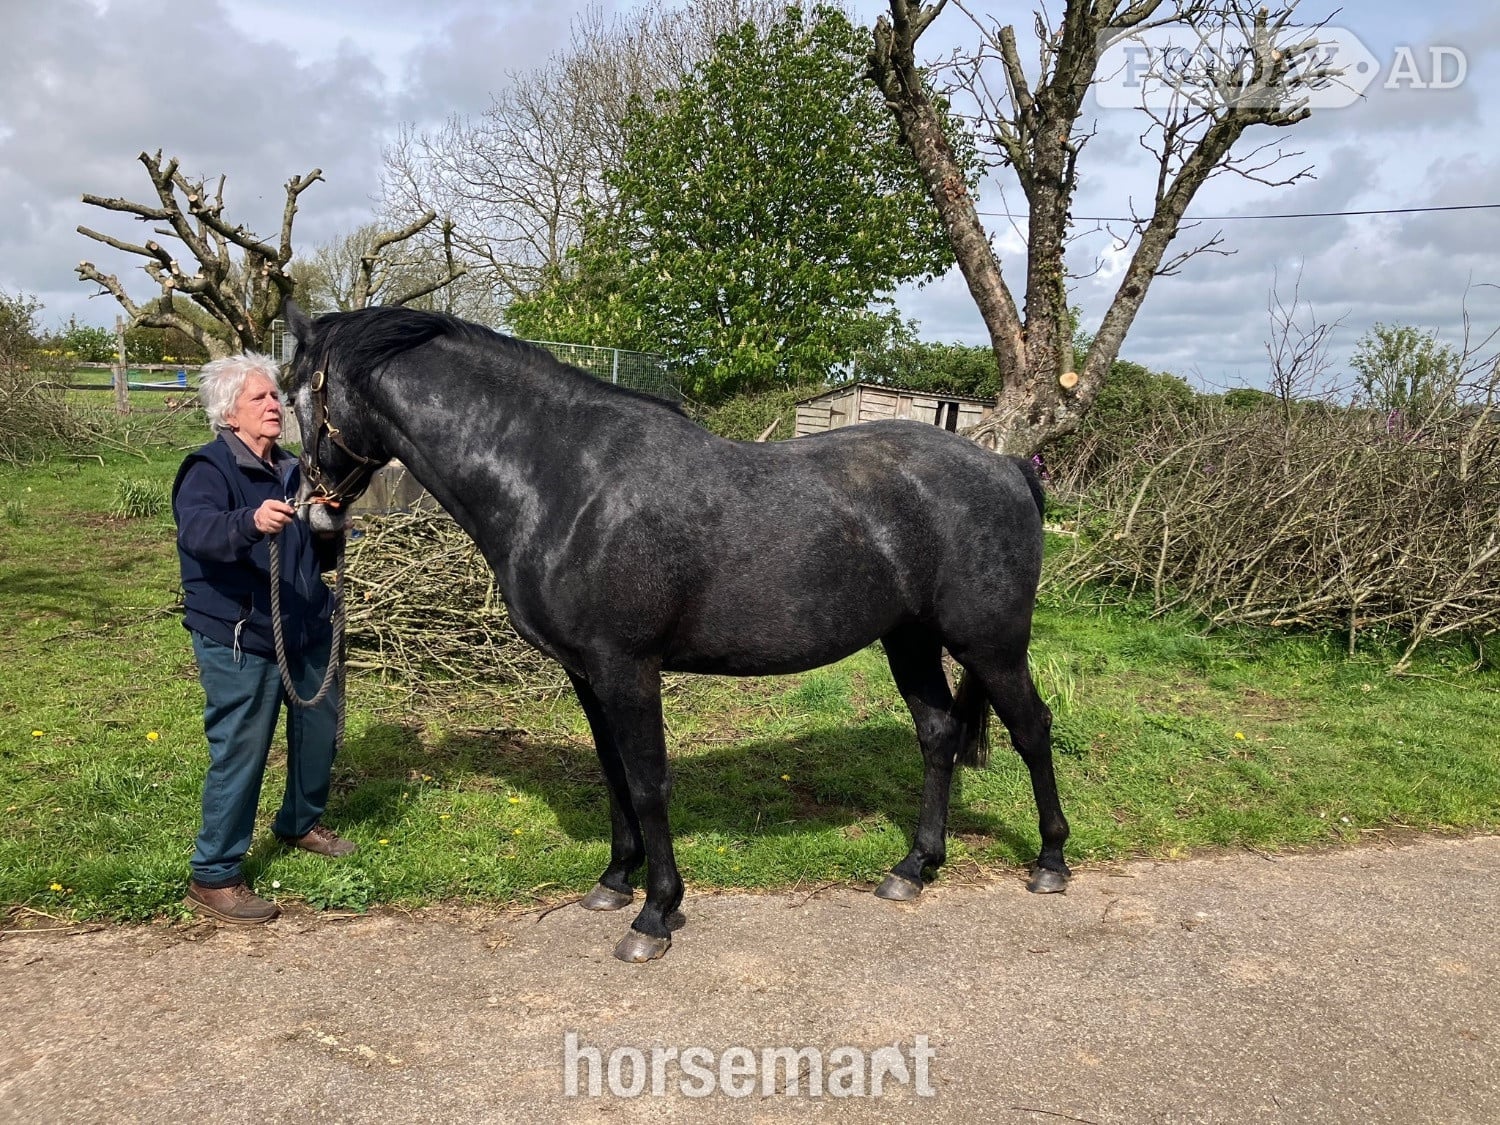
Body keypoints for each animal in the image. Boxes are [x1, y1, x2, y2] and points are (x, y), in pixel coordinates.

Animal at [279, 300, 1070, 962]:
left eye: (298, 396)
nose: (312, 513)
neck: (563, 479)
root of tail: (1008, 466)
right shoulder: (586, 671)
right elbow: (613, 773)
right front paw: (613, 879)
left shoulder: (627, 666)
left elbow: (650, 779)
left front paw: (655, 915)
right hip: (909, 638)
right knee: (937, 733)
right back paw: (915, 866)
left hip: (990, 644)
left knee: (1032, 729)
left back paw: (1050, 862)